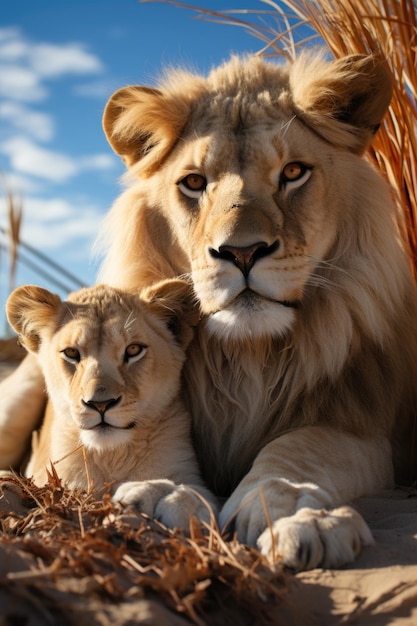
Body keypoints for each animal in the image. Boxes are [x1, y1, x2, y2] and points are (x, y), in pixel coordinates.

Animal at [4, 278, 216, 528]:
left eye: (133, 350)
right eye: (71, 353)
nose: (100, 404)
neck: (111, 456)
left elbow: (202, 496)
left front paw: (169, 499)